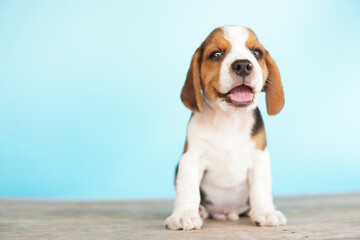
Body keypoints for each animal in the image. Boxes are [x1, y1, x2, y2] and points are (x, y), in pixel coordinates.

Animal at [165, 25, 286, 231]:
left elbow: (261, 187)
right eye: (216, 54)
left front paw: (266, 212)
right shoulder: (191, 159)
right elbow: (188, 188)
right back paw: (200, 211)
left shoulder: (259, 157)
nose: (243, 65)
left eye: (257, 53)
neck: (229, 120)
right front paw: (184, 215)